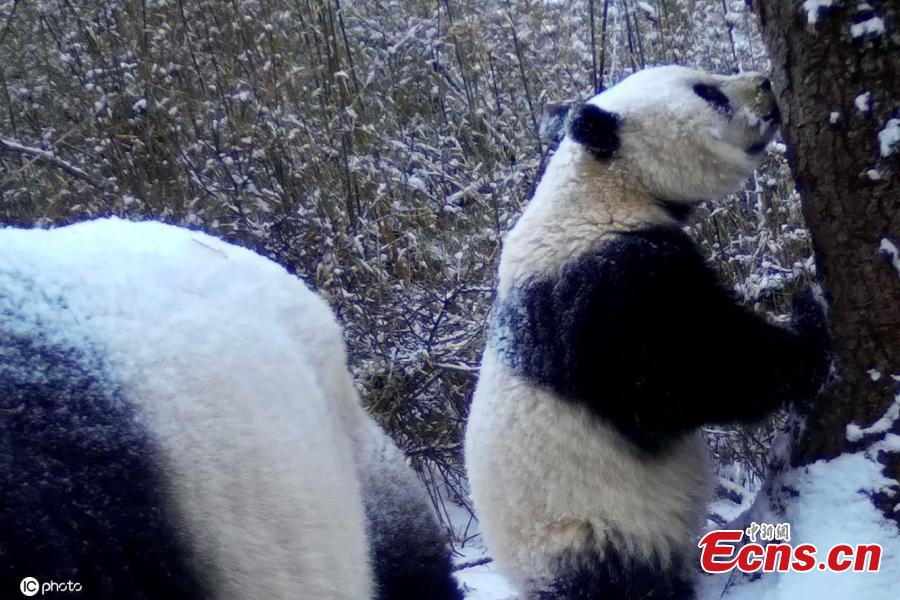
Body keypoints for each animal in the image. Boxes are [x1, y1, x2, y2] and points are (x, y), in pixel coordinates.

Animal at [464, 66, 829, 599]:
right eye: (707, 93)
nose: (765, 83)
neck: (601, 186)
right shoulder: (605, 291)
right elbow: (697, 367)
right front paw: (809, 317)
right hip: (592, 528)